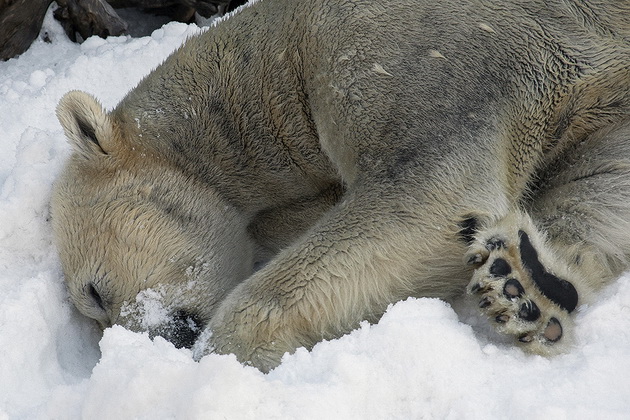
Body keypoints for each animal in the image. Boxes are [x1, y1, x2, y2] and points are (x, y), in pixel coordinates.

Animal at [51, 0, 630, 372]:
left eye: (94, 293)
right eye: (93, 312)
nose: (163, 343)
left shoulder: (411, 52)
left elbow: (431, 193)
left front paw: (221, 356)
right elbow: (601, 183)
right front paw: (529, 279)